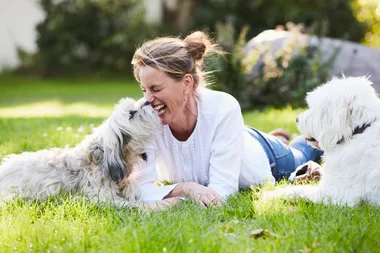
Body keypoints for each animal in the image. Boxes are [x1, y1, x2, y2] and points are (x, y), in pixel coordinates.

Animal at [264, 76, 380, 206]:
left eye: (315, 108)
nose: (297, 119)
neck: (359, 131)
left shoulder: (336, 195)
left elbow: (298, 190)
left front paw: (270, 194)